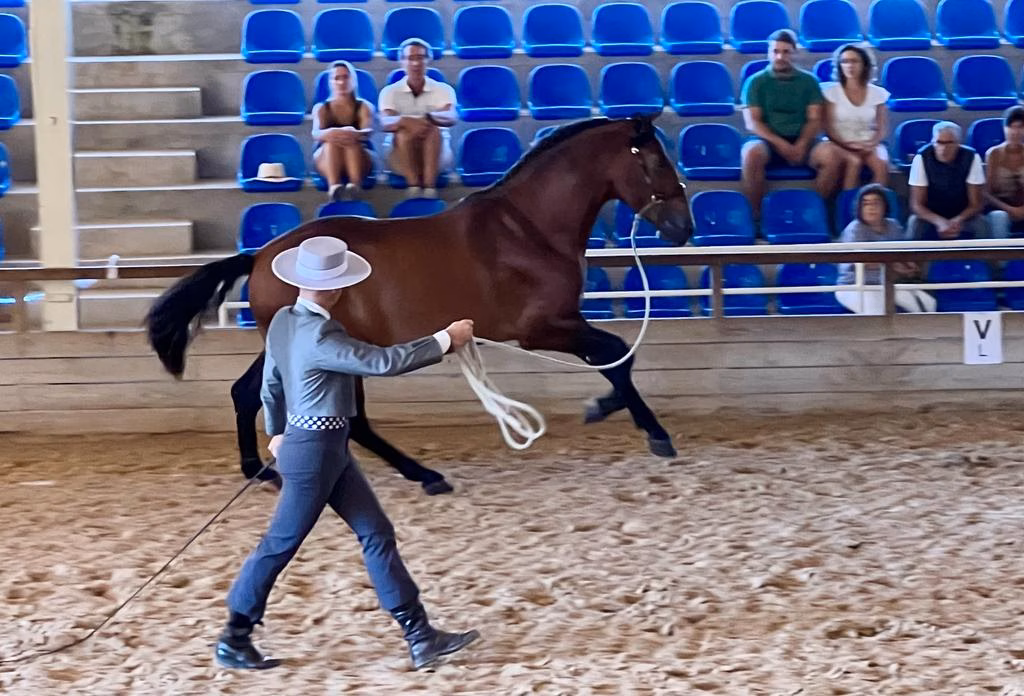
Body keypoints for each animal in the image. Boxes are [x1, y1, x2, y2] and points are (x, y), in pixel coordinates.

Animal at [145, 115, 693, 491]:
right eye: (654, 158)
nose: (683, 228)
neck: (528, 228)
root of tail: (261, 255)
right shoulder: (542, 327)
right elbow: (616, 355)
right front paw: (649, 430)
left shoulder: (558, 324)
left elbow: (614, 358)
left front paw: (605, 409)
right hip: (332, 346)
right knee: (349, 420)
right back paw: (423, 475)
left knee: (246, 393)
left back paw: (260, 471)